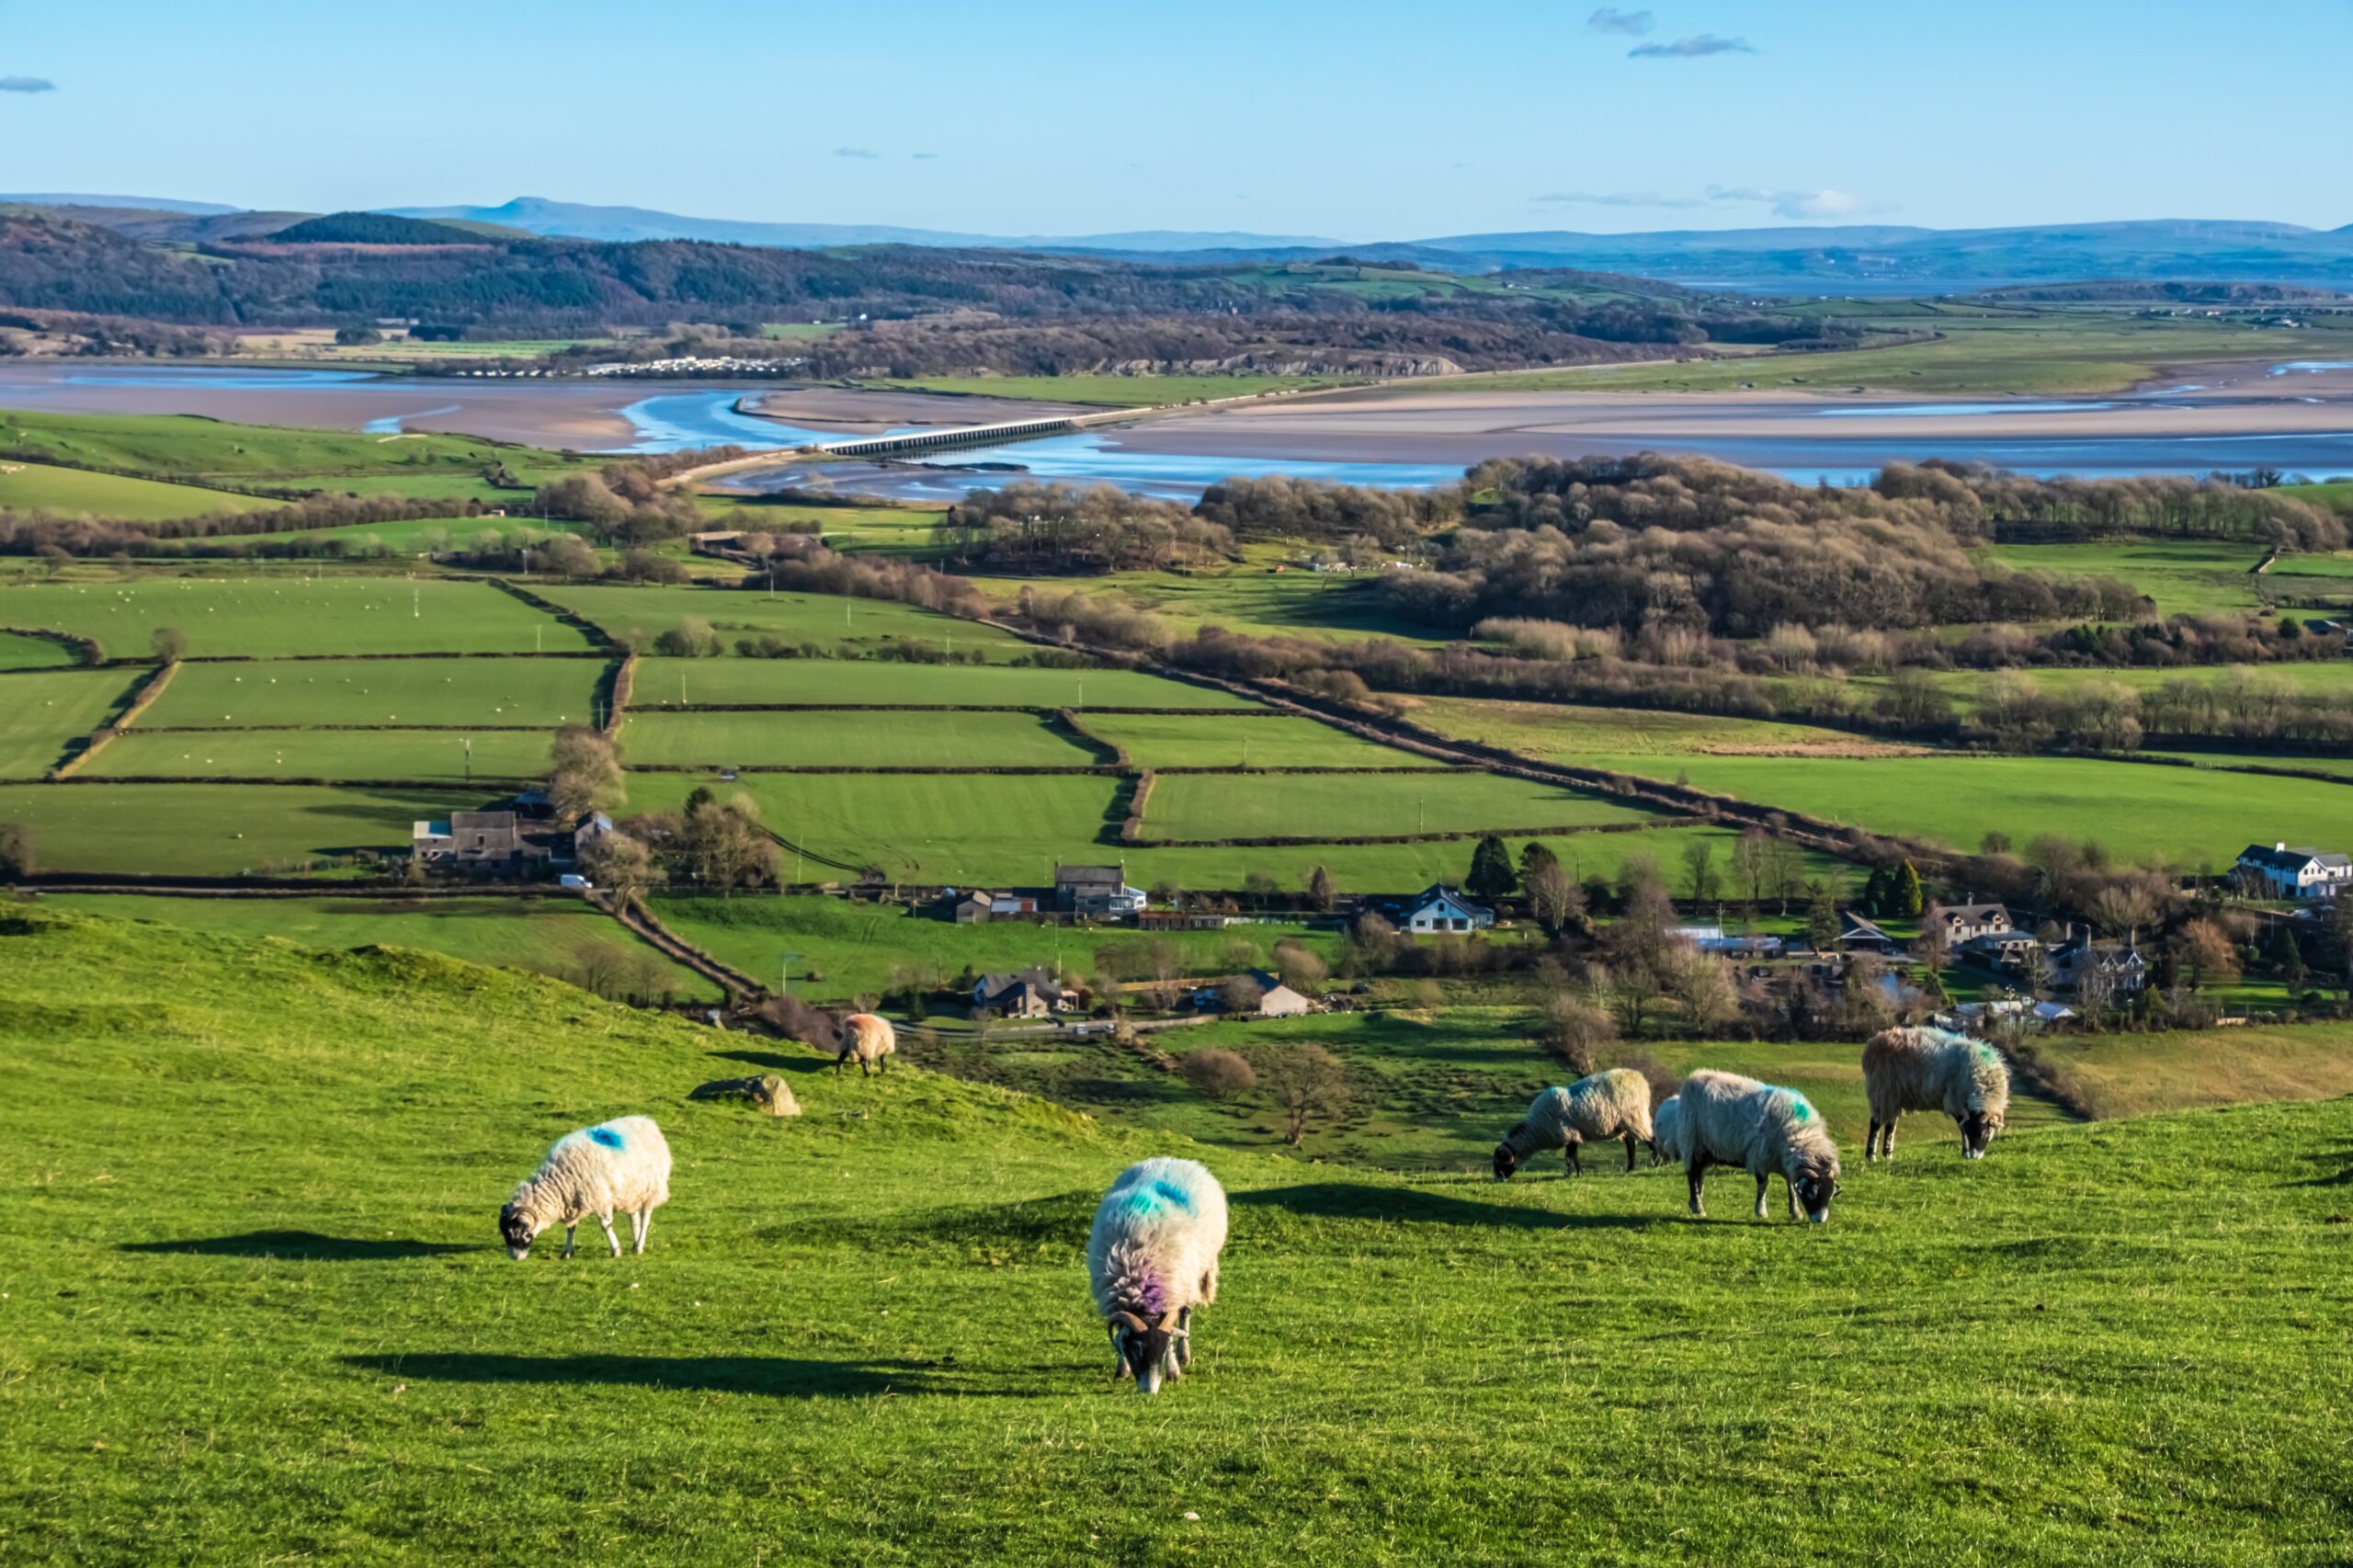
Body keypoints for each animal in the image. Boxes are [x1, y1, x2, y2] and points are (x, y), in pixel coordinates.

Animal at [498, 1111, 673, 1261]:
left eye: (517, 1231)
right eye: (504, 1233)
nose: (515, 1258)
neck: (560, 1178)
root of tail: (647, 1122)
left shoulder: (600, 1199)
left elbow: (606, 1225)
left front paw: (616, 1251)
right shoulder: (572, 1202)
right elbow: (571, 1228)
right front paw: (567, 1252)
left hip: (651, 1189)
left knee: (645, 1218)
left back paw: (639, 1246)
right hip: (632, 1191)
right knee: (633, 1217)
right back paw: (635, 1243)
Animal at [1486, 1068, 1656, 1176]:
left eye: (1500, 1162)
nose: (1498, 1179)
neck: (1538, 1128)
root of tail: (1639, 1078)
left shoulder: (1568, 1133)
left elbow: (1570, 1157)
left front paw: (1570, 1174)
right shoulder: (1572, 1135)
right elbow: (1573, 1155)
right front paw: (1577, 1173)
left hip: (1636, 1118)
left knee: (1650, 1139)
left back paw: (1658, 1164)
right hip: (1623, 1124)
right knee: (1630, 1144)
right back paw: (1630, 1169)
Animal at [1675, 1068, 1835, 1224]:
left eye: (1832, 1193)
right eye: (1812, 1192)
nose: (1820, 1220)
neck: (1796, 1134)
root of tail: (1694, 1077)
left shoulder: (1785, 1165)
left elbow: (1791, 1187)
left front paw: (1796, 1212)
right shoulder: (1760, 1157)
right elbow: (1763, 1185)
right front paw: (1761, 1212)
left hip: (1707, 1151)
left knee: (1700, 1174)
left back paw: (1695, 1202)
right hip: (1692, 1141)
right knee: (1691, 1175)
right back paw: (1698, 1207)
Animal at [1863, 1021, 2014, 1153]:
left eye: (1986, 1135)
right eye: (1975, 1131)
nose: (1974, 1157)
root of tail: (1873, 1042)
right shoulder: (1954, 1101)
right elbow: (1962, 1126)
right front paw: (1965, 1152)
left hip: (1894, 1096)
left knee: (1891, 1123)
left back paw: (1888, 1156)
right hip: (1882, 1091)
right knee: (1876, 1122)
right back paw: (1871, 1156)